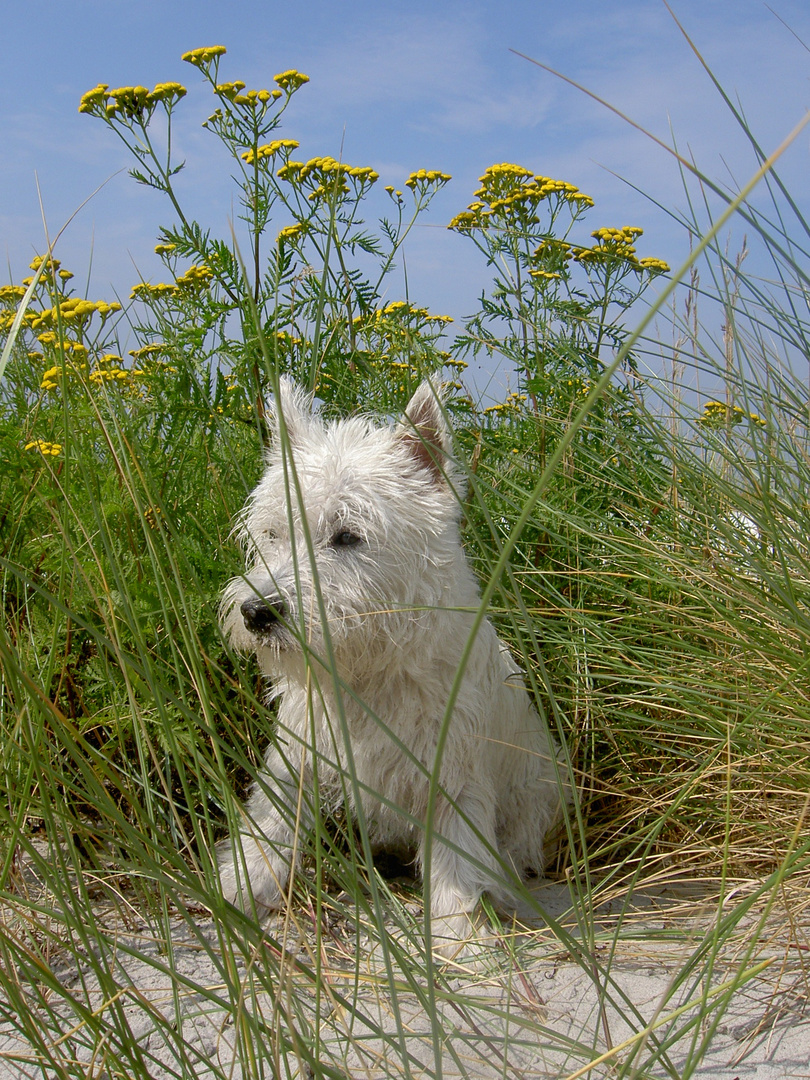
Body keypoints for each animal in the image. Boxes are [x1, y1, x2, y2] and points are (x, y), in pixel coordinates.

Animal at [220, 384, 565, 941]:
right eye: (272, 534)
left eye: (347, 536)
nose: (257, 613)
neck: (368, 675)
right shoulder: (299, 753)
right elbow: (269, 822)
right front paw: (242, 884)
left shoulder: (454, 777)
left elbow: (456, 863)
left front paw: (457, 933)